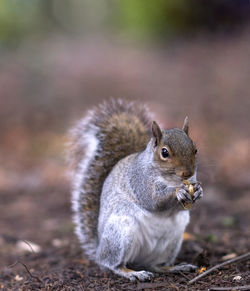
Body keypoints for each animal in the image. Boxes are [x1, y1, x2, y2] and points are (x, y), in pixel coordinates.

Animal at [69, 99, 203, 282]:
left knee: (154, 265)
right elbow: (153, 200)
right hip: (121, 233)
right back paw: (133, 273)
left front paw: (198, 190)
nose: (187, 173)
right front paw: (178, 191)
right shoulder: (139, 180)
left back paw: (173, 267)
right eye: (164, 152)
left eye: (195, 149)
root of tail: (99, 248)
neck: (170, 179)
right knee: (112, 264)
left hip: (172, 240)